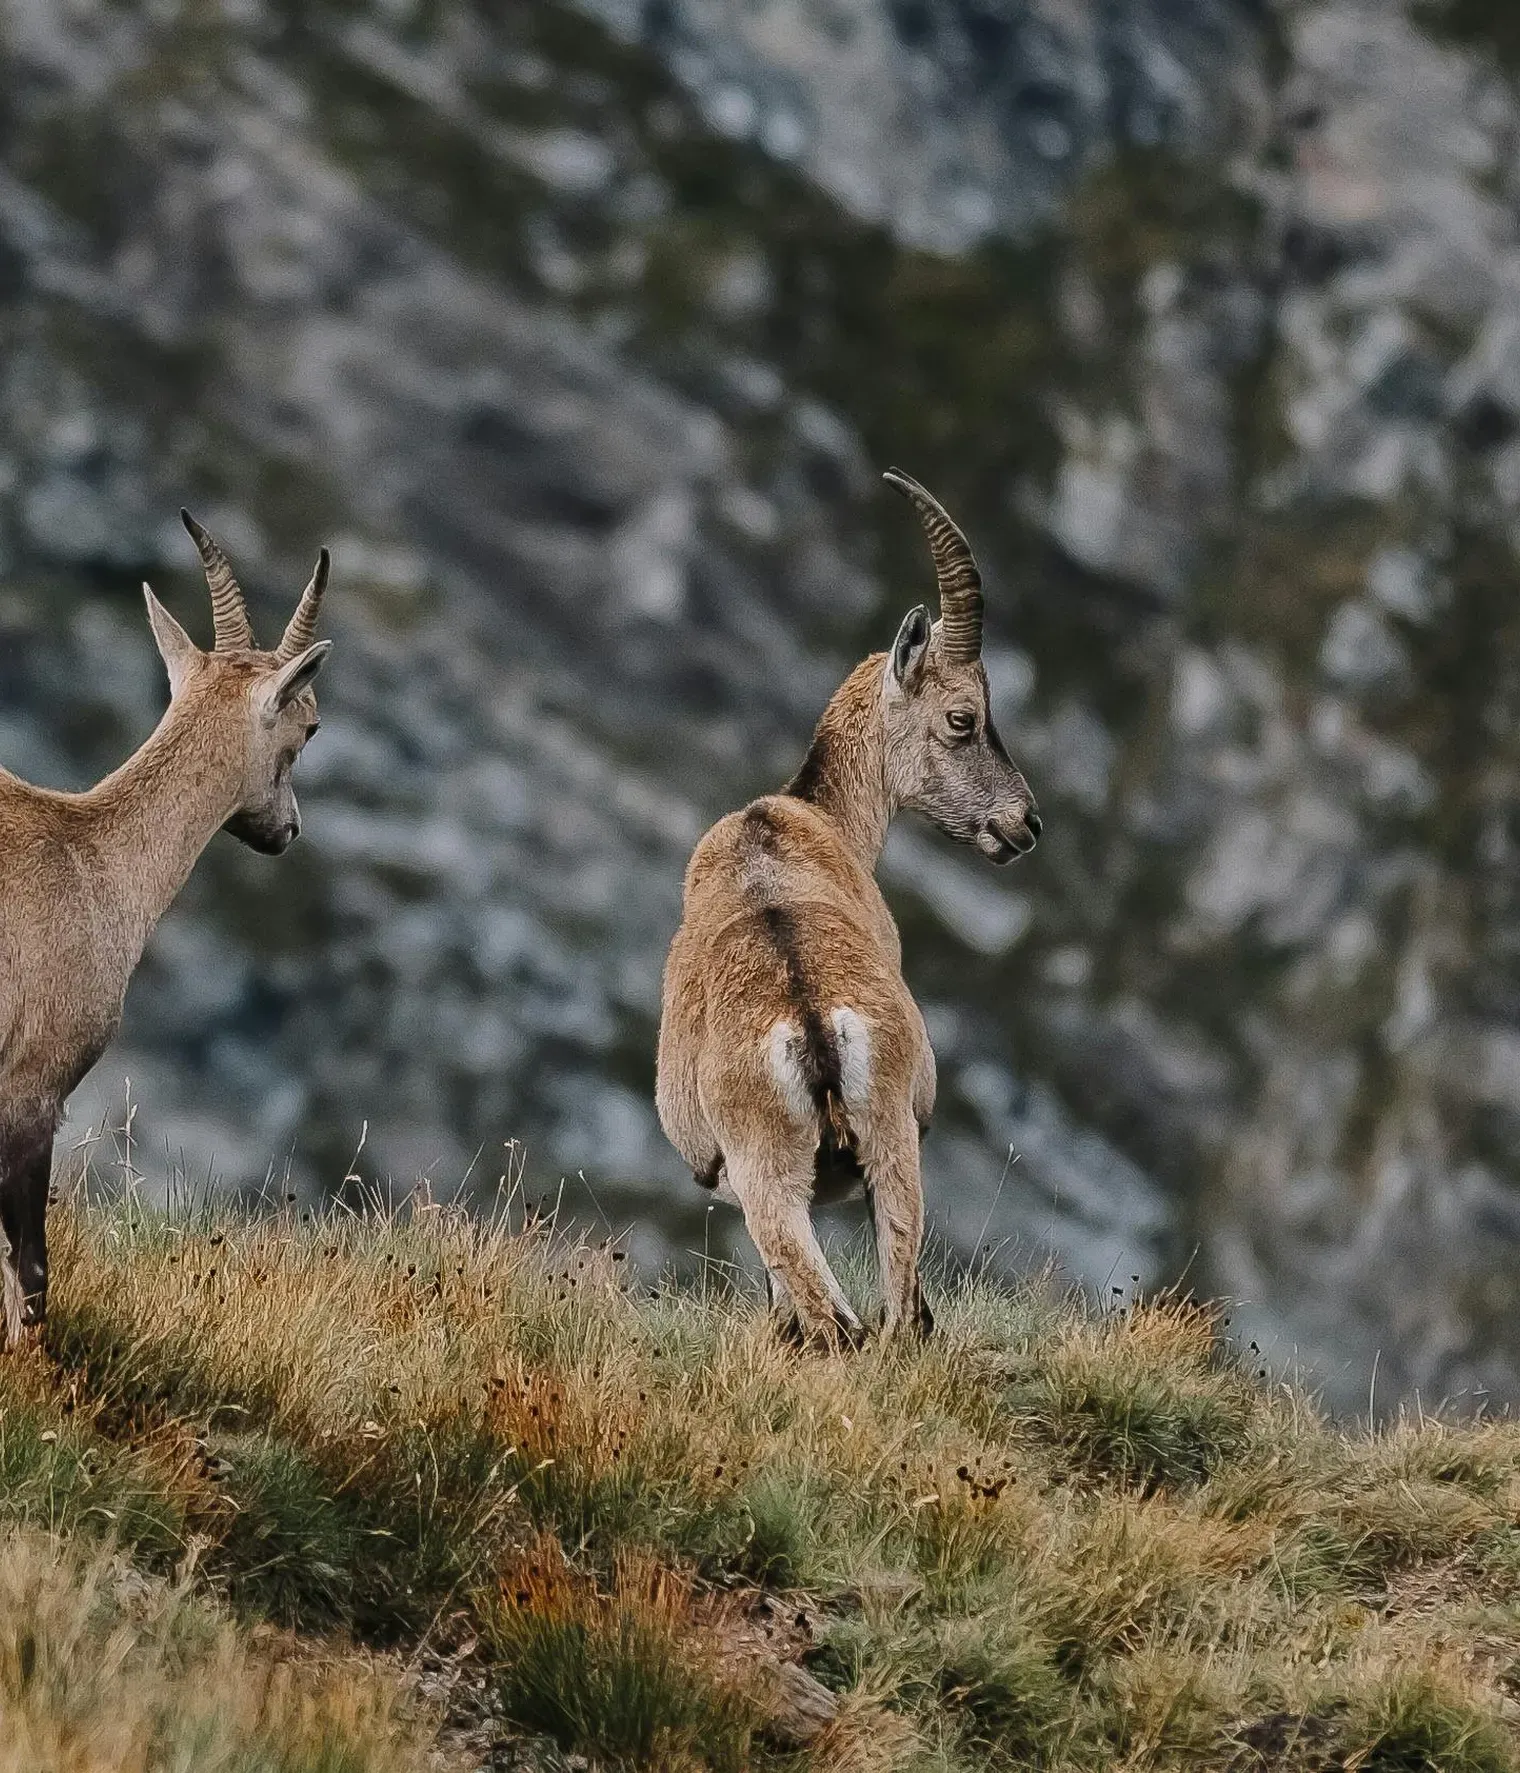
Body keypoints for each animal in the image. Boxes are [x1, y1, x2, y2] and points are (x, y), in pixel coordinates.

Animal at [657, 470, 1041, 1347]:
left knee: (848, 1321)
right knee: (888, 1316)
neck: (796, 820)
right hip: (883, 1151)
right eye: (963, 719)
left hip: (787, 1174)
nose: (1024, 822)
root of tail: (812, 1026)